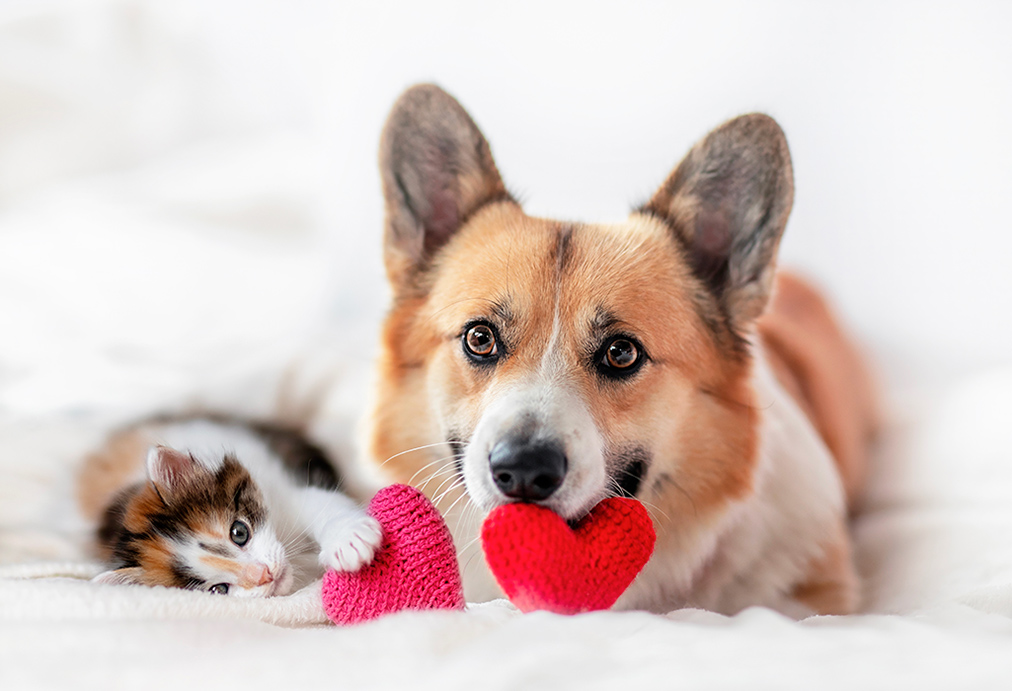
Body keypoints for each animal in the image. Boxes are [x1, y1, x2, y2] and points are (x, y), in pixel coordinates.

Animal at [78, 416, 382, 598]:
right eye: (219, 589)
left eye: (239, 533)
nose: (264, 575)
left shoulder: (285, 494)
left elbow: (322, 502)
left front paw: (348, 541)